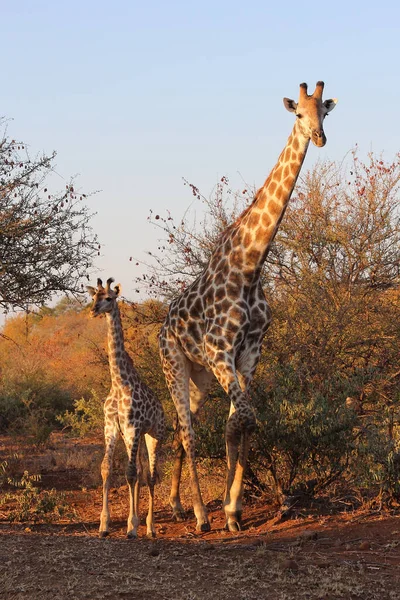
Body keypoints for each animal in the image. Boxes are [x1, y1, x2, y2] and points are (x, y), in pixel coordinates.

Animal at [87, 278, 166, 540]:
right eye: (93, 297)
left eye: (109, 298)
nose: (93, 311)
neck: (119, 381)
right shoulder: (112, 426)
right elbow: (107, 469)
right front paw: (104, 525)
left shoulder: (133, 426)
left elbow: (131, 473)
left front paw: (131, 527)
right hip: (133, 437)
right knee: (141, 472)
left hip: (153, 434)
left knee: (150, 475)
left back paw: (150, 527)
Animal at [159, 82, 338, 532]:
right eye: (298, 114)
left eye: (325, 112)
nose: (320, 137)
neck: (251, 266)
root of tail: (162, 325)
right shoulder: (221, 350)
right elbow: (245, 419)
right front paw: (223, 509)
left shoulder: (249, 353)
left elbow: (240, 424)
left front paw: (234, 510)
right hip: (174, 364)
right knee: (186, 430)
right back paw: (199, 514)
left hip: (200, 378)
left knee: (185, 424)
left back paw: (176, 504)